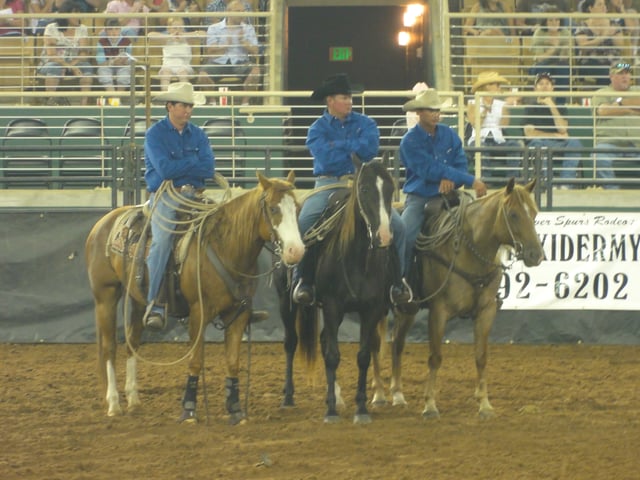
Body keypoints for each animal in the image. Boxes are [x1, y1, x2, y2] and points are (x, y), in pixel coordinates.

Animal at [85, 171, 304, 422]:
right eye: (274, 208)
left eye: (297, 208)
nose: (296, 251)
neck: (224, 247)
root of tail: (104, 222)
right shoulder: (199, 312)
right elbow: (195, 361)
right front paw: (189, 409)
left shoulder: (238, 314)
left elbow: (233, 362)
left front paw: (235, 409)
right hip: (106, 295)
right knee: (109, 347)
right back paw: (114, 403)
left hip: (138, 298)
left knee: (133, 341)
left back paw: (133, 399)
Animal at [276, 160, 398, 424]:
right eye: (363, 189)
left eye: (390, 189)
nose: (384, 236)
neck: (357, 257)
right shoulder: (333, 306)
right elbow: (333, 355)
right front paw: (331, 411)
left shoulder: (371, 309)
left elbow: (363, 356)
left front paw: (361, 408)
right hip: (285, 301)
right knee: (291, 343)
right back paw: (288, 397)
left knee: (322, 341)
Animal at [370, 178, 544, 418]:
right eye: (513, 214)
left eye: (534, 213)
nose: (536, 255)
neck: (469, 250)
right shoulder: (439, 311)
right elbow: (435, 357)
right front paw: (430, 405)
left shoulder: (486, 311)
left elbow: (481, 356)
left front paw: (485, 404)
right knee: (375, 344)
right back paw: (378, 393)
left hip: (408, 308)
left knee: (397, 343)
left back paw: (397, 394)